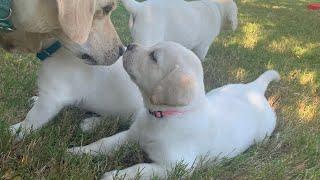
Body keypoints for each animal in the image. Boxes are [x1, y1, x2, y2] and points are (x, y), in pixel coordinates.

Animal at [68, 41, 280, 179]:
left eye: (154, 57)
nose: (130, 45)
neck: (161, 117)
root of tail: (255, 88)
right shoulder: (131, 135)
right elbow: (104, 143)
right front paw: (79, 151)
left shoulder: (174, 166)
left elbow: (140, 169)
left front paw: (115, 175)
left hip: (263, 133)